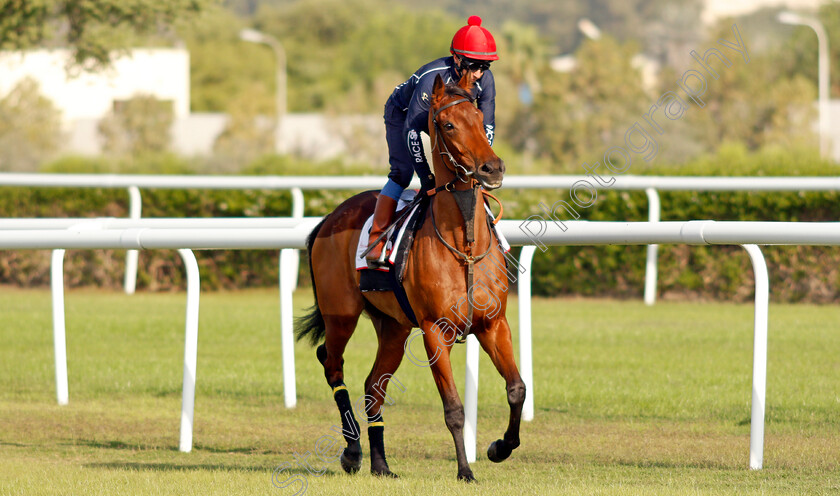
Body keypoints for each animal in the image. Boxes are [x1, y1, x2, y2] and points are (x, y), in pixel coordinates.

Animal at [292, 70, 520, 480]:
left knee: (373, 386)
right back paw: (353, 452)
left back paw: (381, 464)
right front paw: (465, 471)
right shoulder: (434, 331)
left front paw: (500, 447)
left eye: (481, 121)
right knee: (332, 364)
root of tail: (329, 218)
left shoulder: (493, 324)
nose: (492, 168)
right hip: (341, 314)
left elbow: (516, 389)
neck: (463, 244)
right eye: (448, 124)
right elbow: (454, 408)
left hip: (394, 327)